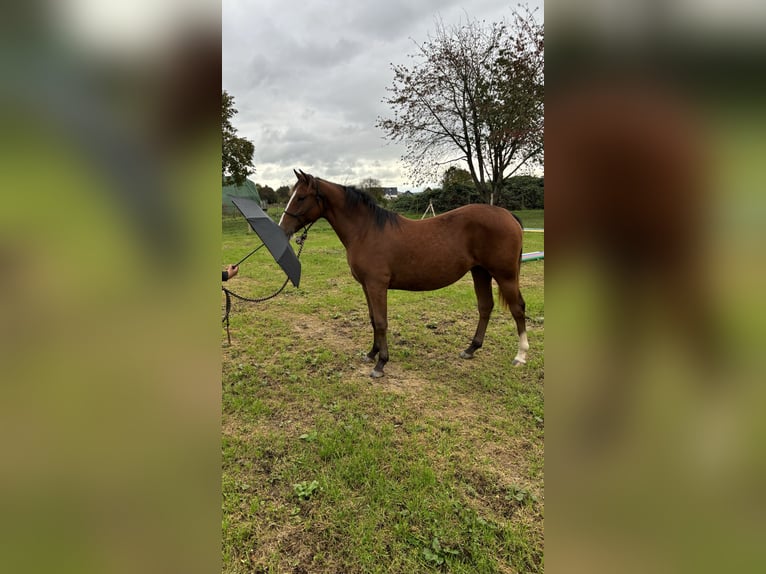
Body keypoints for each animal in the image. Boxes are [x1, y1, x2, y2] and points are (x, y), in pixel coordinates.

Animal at [280, 170, 532, 378]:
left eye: (301, 197)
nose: (283, 229)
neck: (366, 231)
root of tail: (508, 215)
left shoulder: (377, 286)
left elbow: (381, 322)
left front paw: (381, 364)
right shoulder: (366, 286)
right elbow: (373, 319)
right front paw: (371, 354)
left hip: (505, 275)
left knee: (518, 308)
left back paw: (520, 356)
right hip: (480, 272)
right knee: (485, 307)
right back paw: (470, 349)